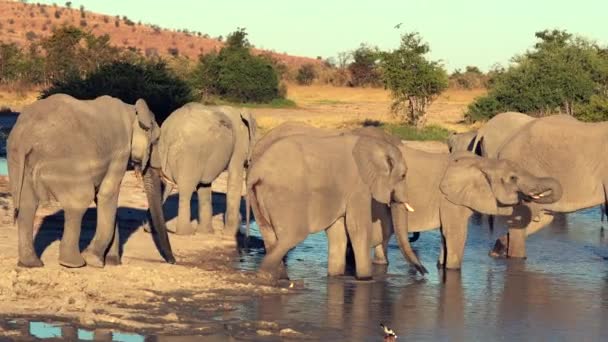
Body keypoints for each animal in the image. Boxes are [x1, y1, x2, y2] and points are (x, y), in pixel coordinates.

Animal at [7, 95, 173, 268]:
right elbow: (107, 194)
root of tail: (25, 135)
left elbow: (102, 198)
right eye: (157, 140)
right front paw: (95, 260)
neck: (132, 111)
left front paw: (112, 262)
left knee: (27, 205)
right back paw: (73, 263)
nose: (173, 261)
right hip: (64, 163)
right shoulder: (120, 152)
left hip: (17, 159)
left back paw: (31, 263)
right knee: (79, 200)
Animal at [154, 103, 256, 236]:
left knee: (163, 186)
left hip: (162, 151)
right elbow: (234, 178)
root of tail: (170, 132)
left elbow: (204, 186)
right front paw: (229, 234)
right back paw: (186, 233)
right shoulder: (239, 144)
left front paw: (206, 232)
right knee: (186, 189)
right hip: (189, 155)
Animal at [247, 130, 428, 280]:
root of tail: (257, 171)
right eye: (403, 175)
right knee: (292, 236)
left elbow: (338, 231)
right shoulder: (359, 187)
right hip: (287, 197)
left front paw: (335, 276)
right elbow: (358, 228)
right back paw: (266, 276)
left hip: (258, 197)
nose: (424, 272)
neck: (375, 144)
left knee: (269, 236)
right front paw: (365, 279)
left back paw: (277, 277)